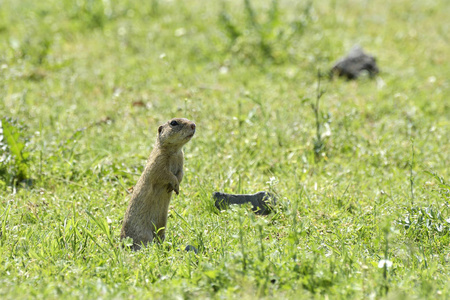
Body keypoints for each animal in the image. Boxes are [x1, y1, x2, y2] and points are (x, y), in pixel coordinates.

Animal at [120, 118, 196, 250]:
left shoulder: (181, 159)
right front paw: (175, 185)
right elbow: (165, 174)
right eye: (174, 123)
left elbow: (180, 173)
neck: (174, 151)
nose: (193, 125)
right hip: (143, 233)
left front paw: (176, 187)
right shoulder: (158, 161)